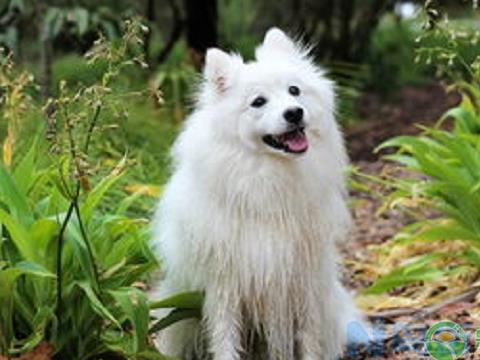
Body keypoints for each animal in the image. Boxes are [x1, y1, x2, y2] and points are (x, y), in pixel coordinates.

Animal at [153, 28, 360, 360]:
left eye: (294, 91)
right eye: (258, 102)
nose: (294, 113)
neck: (269, 180)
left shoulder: (300, 281)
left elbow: (308, 338)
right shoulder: (226, 285)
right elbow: (225, 339)